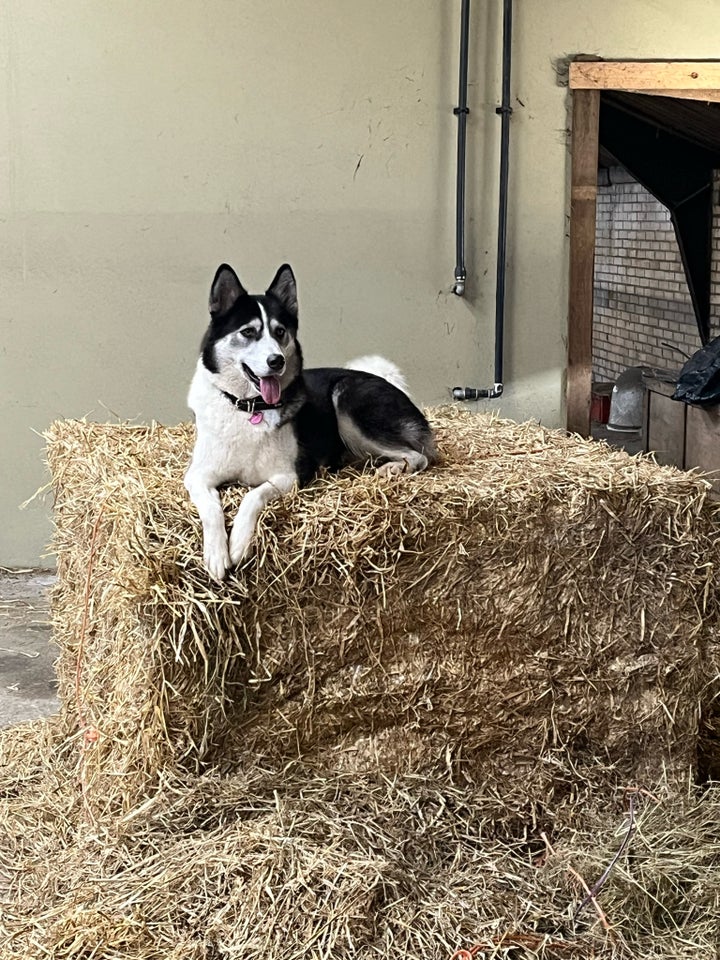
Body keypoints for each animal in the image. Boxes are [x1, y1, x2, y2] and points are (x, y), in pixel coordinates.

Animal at [183, 260, 436, 576]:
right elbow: (211, 509)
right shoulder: (198, 476)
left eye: (280, 332)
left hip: (347, 402)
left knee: (418, 456)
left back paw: (390, 469)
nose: (276, 361)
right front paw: (216, 554)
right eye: (249, 332)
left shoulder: (289, 476)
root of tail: (388, 382)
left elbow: (252, 497)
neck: (250, 408)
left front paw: (238, 543)